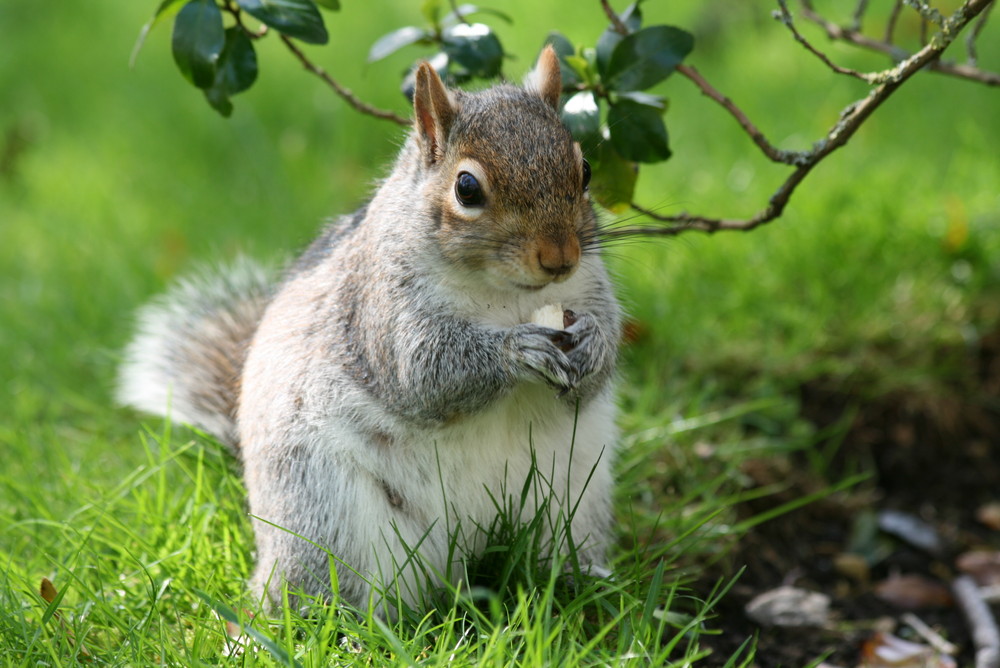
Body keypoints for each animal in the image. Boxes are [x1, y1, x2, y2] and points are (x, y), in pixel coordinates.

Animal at [115, 44, 616, 612]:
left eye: (585, 170)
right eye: (466, 188)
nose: (560, 258)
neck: (509, 296)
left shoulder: (591, 287)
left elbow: (602, 353)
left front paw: (594, 345)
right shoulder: (381, 310)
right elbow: (424, 374)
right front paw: (517, 350)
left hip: (573, 498)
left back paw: (581, 584)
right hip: (329, 514)